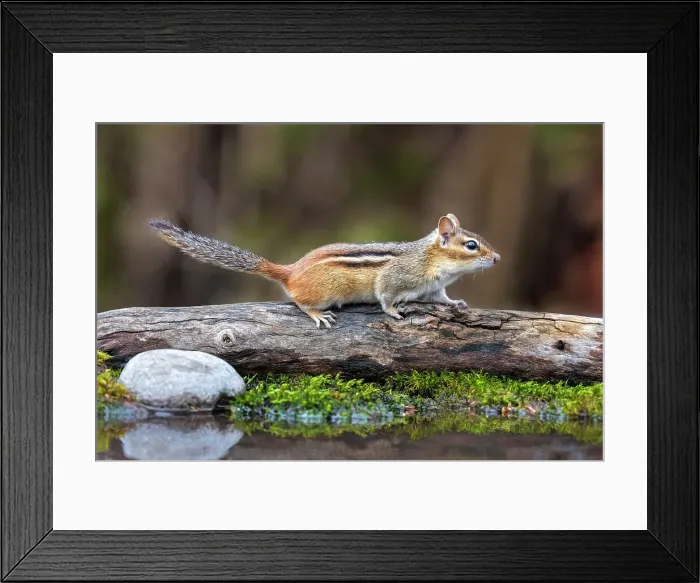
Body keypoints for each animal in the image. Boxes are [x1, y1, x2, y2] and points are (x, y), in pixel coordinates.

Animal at [147, 213, 500, 329]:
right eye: (472, 246)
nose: (497, 258)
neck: (430, 259)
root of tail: (291, 271)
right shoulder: (396, 276)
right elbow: (385, 293)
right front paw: (393, 312)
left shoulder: (434, 288)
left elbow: (442, 299)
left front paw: (456, 303)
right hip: (322, 293)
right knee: (299, 302)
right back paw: (317, 314)